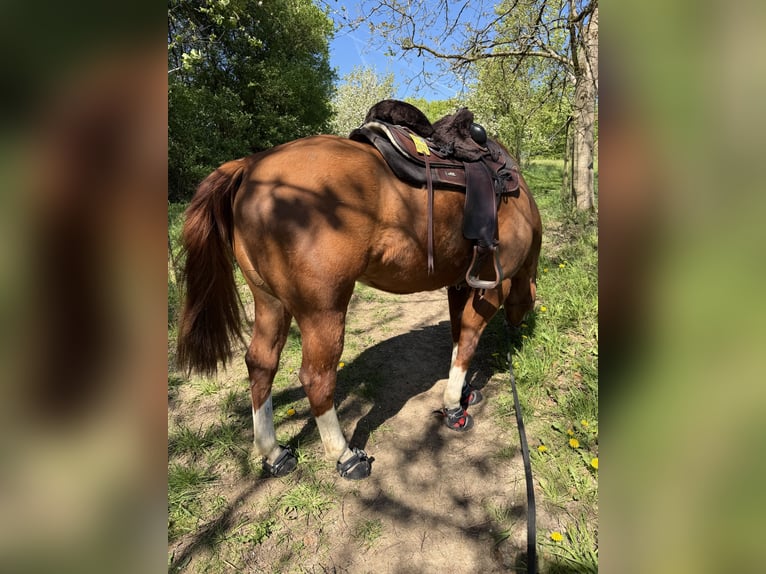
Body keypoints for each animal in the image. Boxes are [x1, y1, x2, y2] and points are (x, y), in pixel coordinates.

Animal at [177, 132, 542, 480]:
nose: (517, 328)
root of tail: (252, 165)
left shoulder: (459, 283)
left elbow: (456, 335)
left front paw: (465, 390)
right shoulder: (493, 285)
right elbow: (467, 340)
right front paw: (454, 406)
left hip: (270, 302)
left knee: (261, 363)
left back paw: (274, 453)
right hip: (323, 311)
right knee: (317, 378)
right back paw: (344, 456)